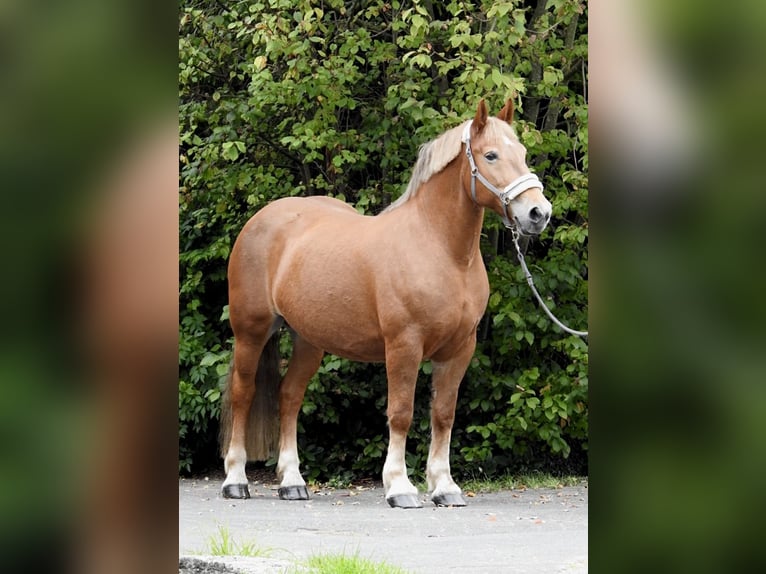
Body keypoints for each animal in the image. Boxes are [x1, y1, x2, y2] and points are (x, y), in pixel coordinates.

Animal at [220, 99, 552, 508]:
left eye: (522, 153)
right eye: (490, 155)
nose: (538, 213)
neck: (441, 250)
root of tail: (261, 220)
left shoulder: (459, 349)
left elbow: (443, 414)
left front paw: (445, 487)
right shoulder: (403, 346)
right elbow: (401, 413)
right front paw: (399, 486)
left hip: (308, 340)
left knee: (289, 396)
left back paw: (292, 482)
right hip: (251, 332)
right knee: (243, 394)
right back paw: (236, 480)